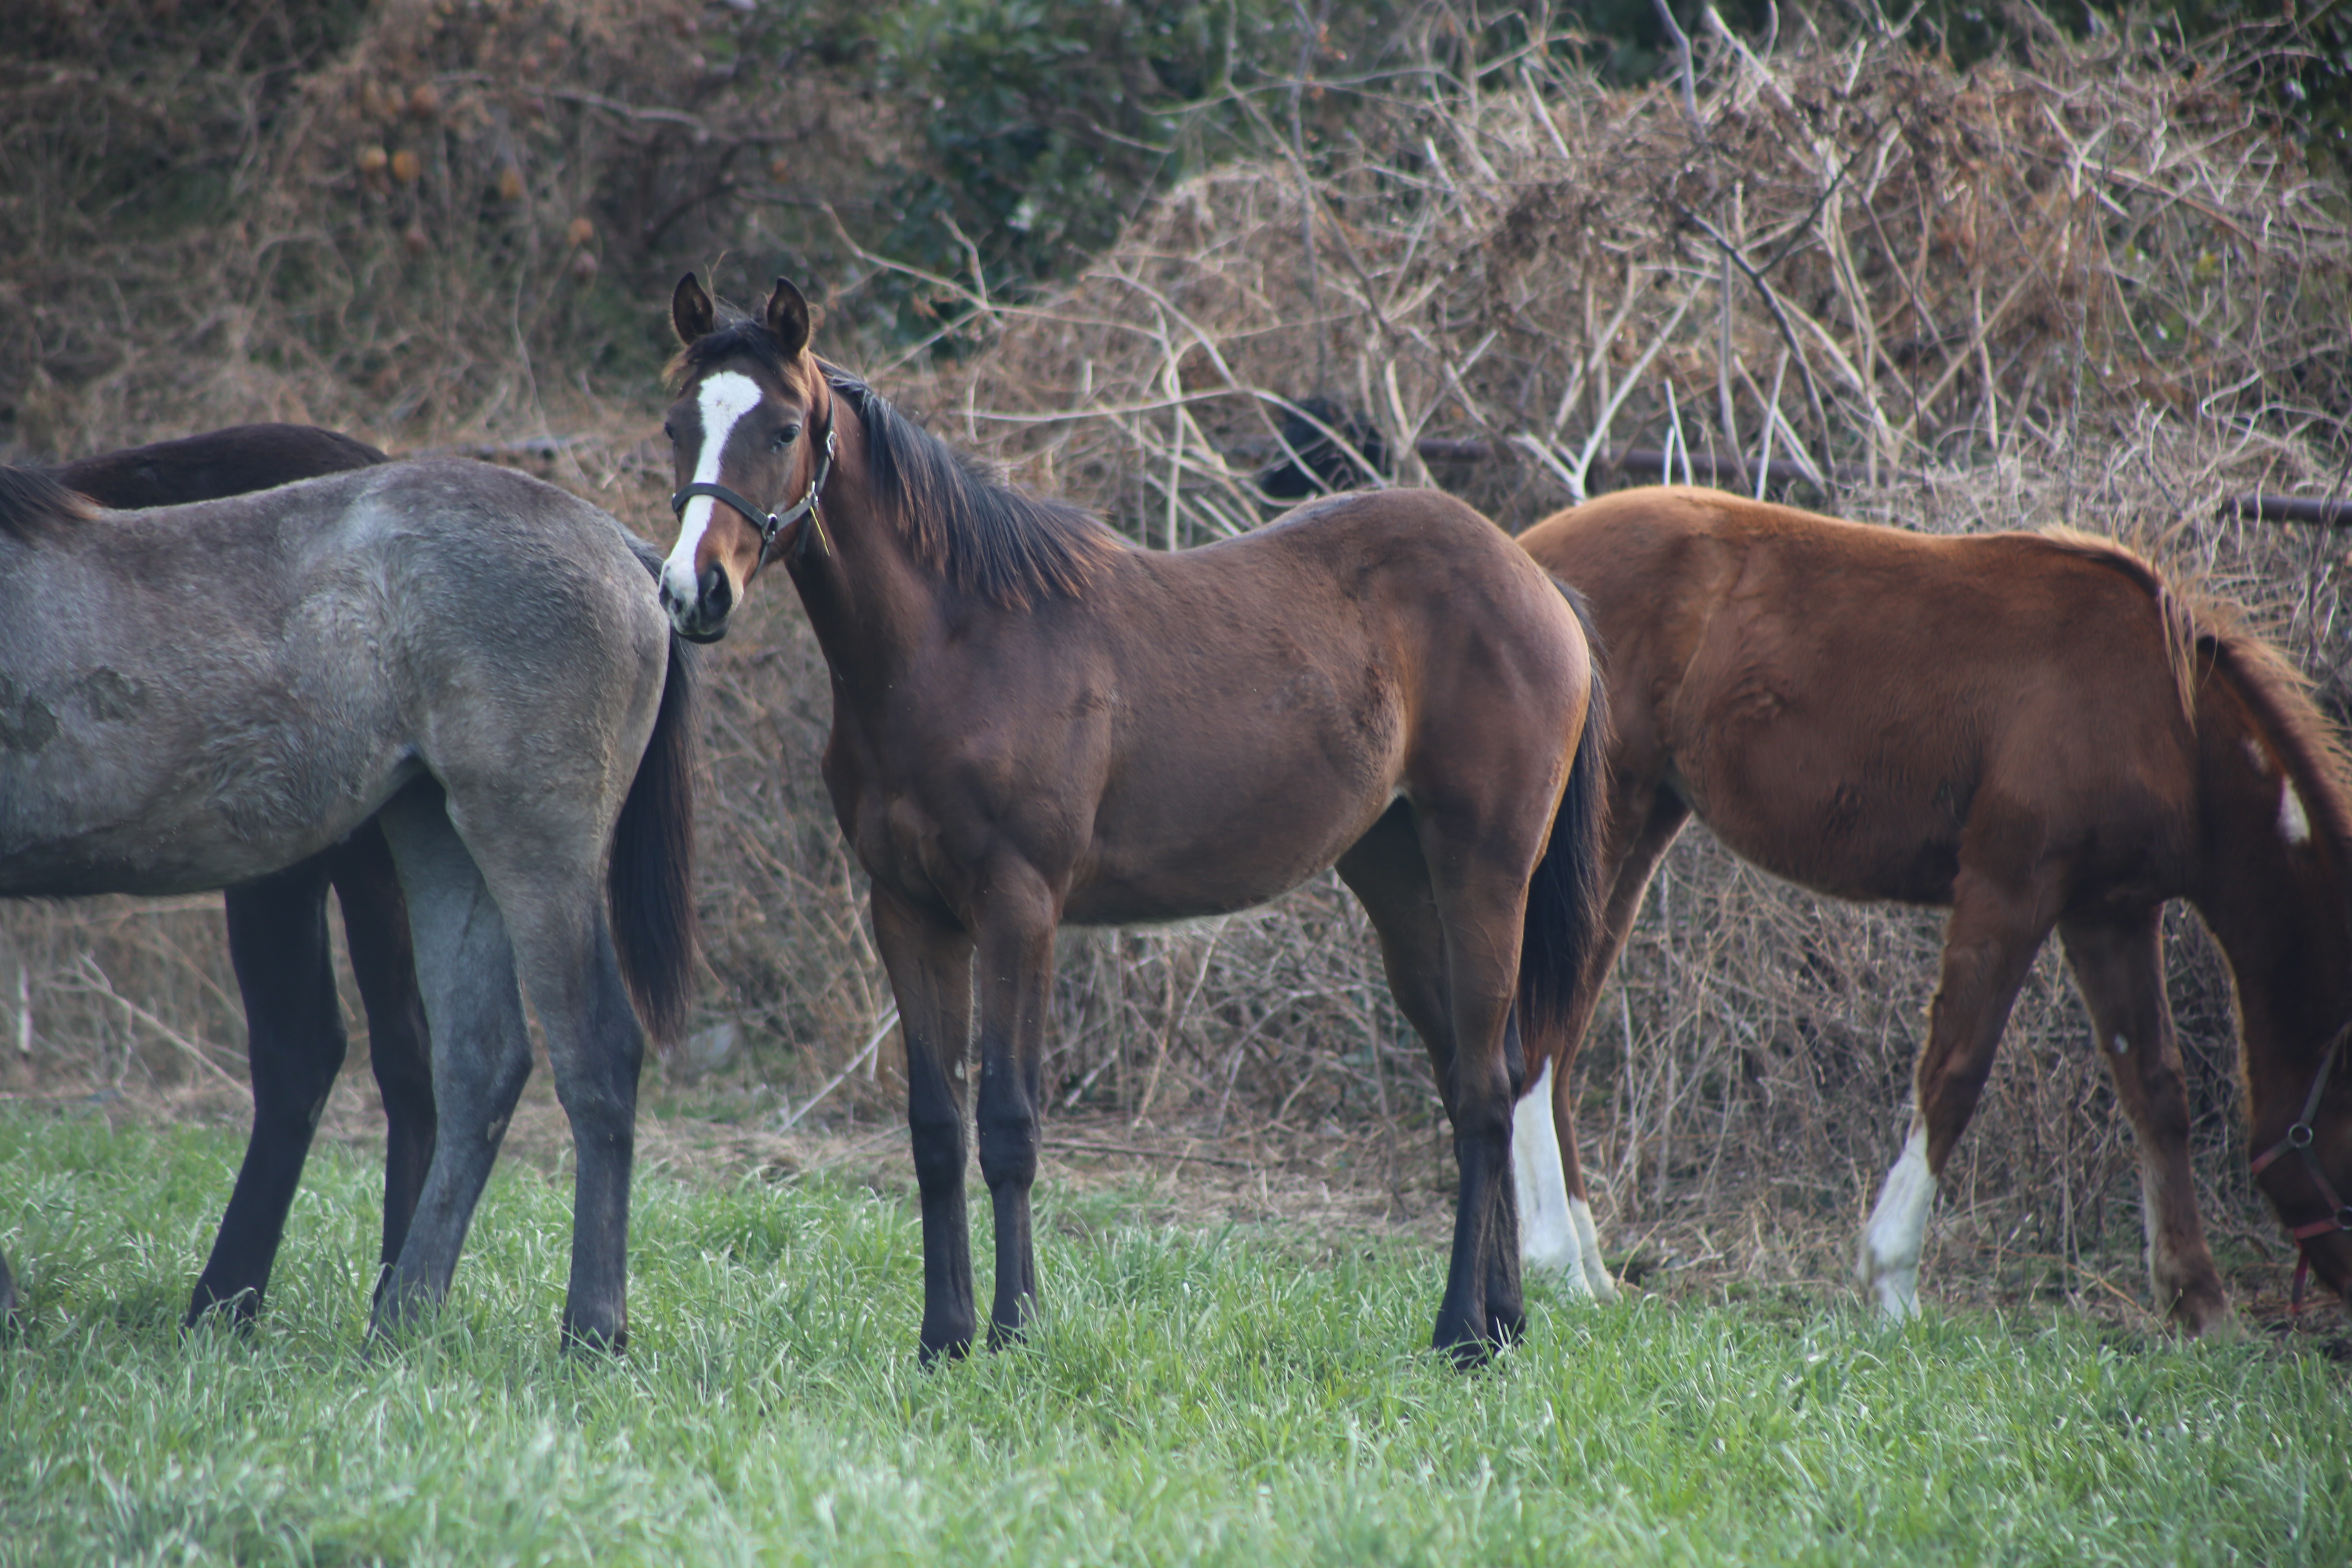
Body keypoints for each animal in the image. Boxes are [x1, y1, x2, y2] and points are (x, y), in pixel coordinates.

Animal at [0, 456, 696, 1354]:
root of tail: (625, 550)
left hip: (536, 843)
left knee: (597, 1053)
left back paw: (590, 1330)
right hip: (441, 836)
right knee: (480, 1065)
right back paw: (402, 1320)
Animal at [663, 278, 1618, 1363]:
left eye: (783, 427)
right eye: (677, 425)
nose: (693, 591)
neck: (953, 645)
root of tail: (1538, 586)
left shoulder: (1018, 908)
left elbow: (1008, 1124)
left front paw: (1015, 1330)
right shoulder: (906, 912)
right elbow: (936, 1129)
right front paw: (944, 1336)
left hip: (1482, 876)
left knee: (1486, 1093)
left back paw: (1461, 1331)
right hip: (1401, 885)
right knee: (1479, 1077)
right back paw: (1500, 1324)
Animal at [1505, 484, 2352, 1335]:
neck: (2164, 718)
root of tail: (1526, 557)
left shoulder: (2110, 914)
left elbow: (2156, 1088)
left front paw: (2198, 1302)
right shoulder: (2009, 887)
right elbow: (1954, 1073)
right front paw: (1892, 1281)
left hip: (1639, 831)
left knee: (1563, 1040)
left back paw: (1591, 1270)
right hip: (1608, 831)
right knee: (1542, 1038)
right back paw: (1558, 1264)